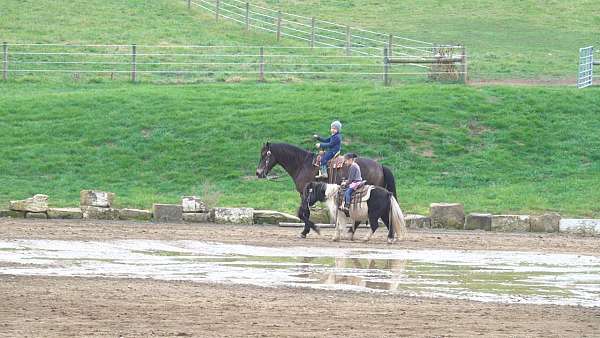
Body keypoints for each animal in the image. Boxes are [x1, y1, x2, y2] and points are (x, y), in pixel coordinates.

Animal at [254, 143, 398, 238]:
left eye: (265, 155)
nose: (258, 173)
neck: (302, 164)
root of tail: (380, 165)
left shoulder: (304, 194)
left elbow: (303, 213)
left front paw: (309, 230)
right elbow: (304, 213)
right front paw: (307, 230)